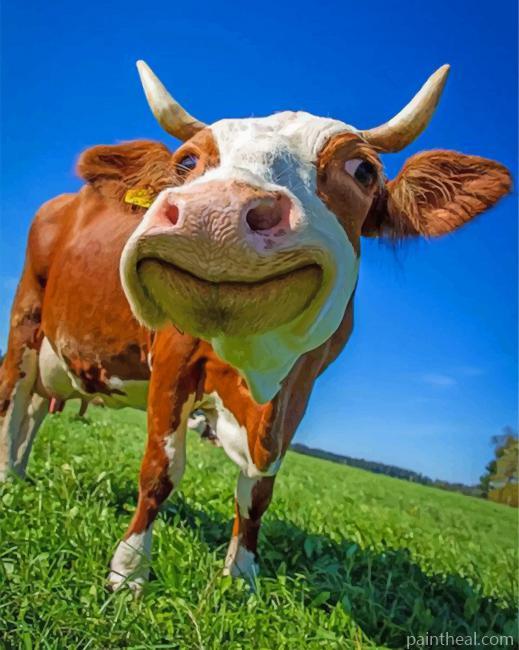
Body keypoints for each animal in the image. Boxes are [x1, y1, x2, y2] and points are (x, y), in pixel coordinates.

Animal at [0, 61, 511, 591]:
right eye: (187, 162)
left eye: (363, 170)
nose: (215, 214)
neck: (256, 367)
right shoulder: (172, 359)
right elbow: (161, 469)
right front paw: (128, 571)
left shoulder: (299, 388)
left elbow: (259, 489)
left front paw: (241, 575)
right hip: (25, 320)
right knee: (13, 399)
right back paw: (7, 480)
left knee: (35, 408)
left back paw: (21, 470)